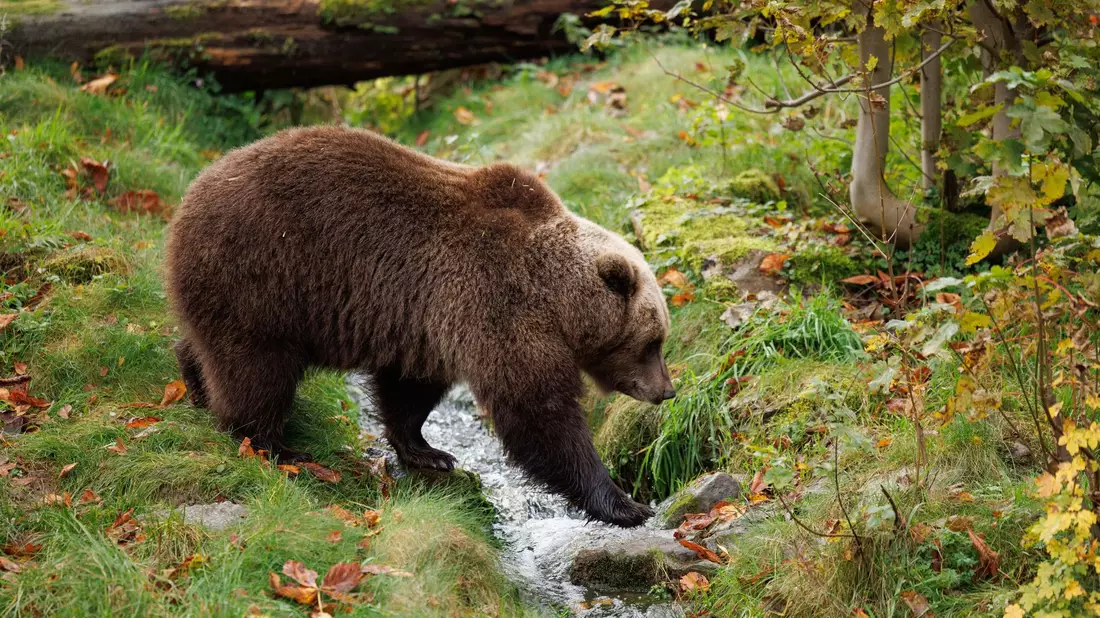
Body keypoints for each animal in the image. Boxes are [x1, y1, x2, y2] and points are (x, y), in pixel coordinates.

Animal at [164, 126, 675, 527]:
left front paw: (429, 451)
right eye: (653, 342)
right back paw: (276, 446)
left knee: (209, 345)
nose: (666, 391)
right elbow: (537, 411)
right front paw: (623, 503)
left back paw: (195, 383)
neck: (559, 298)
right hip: (264, 275)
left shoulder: (429, 318)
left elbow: (410, 389)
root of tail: (189, 198)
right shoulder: (499, 302)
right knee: (256, 368)